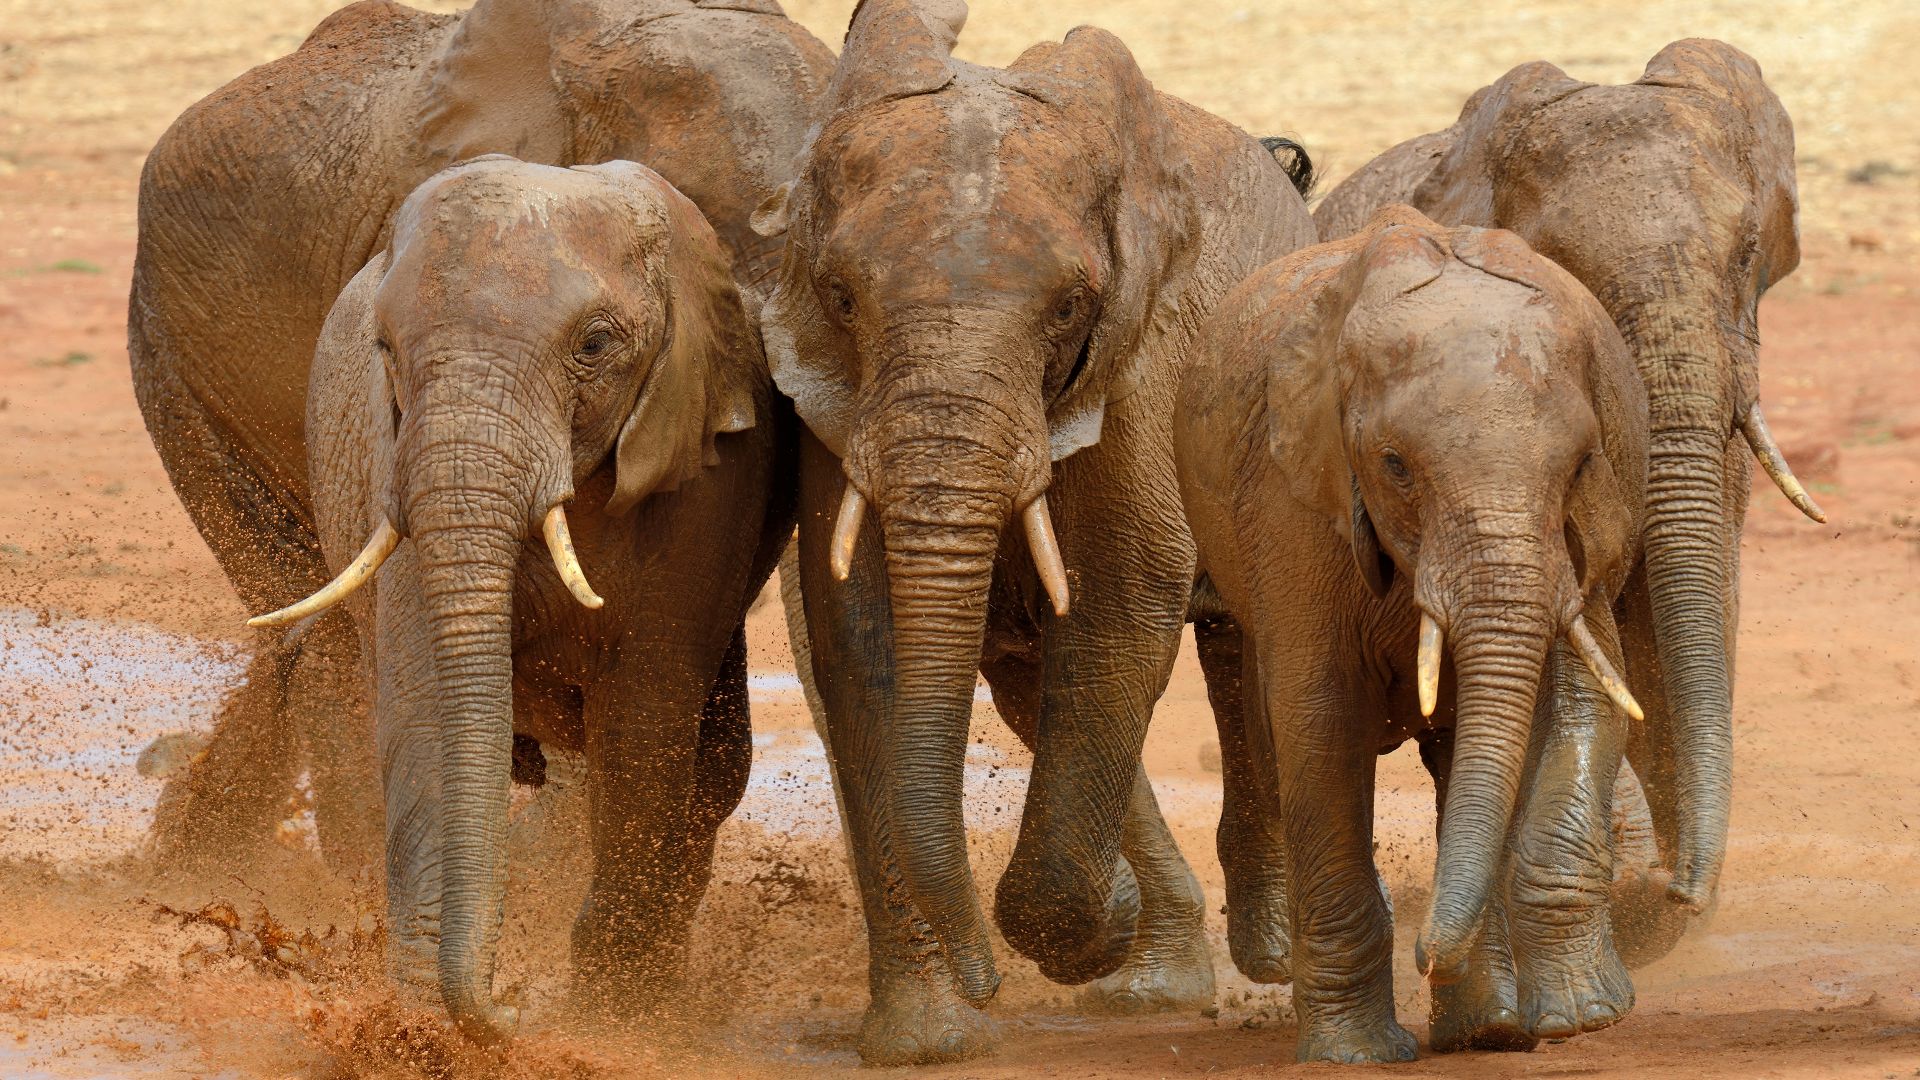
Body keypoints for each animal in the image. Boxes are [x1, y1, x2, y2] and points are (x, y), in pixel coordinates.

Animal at [258, 155, 786, 1038]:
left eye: (595, 345)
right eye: (386, 349)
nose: (510, 1006)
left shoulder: (706, 475)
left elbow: (645, 722)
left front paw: (612, 1016)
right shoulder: (398, 466)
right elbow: (429, 706)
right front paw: (419, 1034)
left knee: (713, 770)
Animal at [750, 0, 1316, 1062]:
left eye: (1068, 309)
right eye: (841, 297)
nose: (985, 985)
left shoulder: (1143, 357)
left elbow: (1128, 594)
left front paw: (1080, 935)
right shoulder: (829, 395)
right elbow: (856, 628)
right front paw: (931, 1040)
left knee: (1248, 646)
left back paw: (1275, 956)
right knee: (1034, 684)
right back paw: (1155, 979)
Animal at [1176, 206, 1651, 1061]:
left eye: (1581, 464)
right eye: (1395, 465)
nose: (1428, 953)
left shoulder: (1590, 530)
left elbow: (1586, 697)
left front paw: (1581, 1016)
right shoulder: (1296, 501)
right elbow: (1320, 720)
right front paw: (1354, 1056)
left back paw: (1489, 1026)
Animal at [1312, 40, 1822, 962]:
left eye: (1746, 256)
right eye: (1561, 270)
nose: (1685, 890)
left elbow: (1684, 608)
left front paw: (1664, 908)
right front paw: (1641, 891)